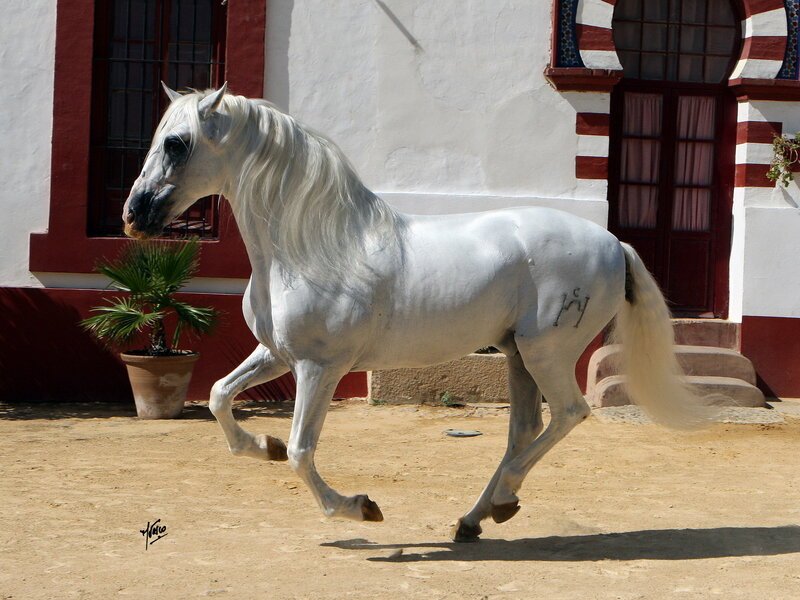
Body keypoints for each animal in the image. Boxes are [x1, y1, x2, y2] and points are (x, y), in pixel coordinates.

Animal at [123, 84, 711, 542]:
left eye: (177, 143)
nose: (133, 215)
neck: (313, 247)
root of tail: (614, 244)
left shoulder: (320, 366)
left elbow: (301, 451)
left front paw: (360, 508)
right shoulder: (277, 353)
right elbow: (221, 396)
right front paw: (259, 445)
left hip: (547, 353)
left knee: (568, 414)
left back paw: (502, 500)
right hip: (517, 354)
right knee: (524, 428)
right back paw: (476, 518)